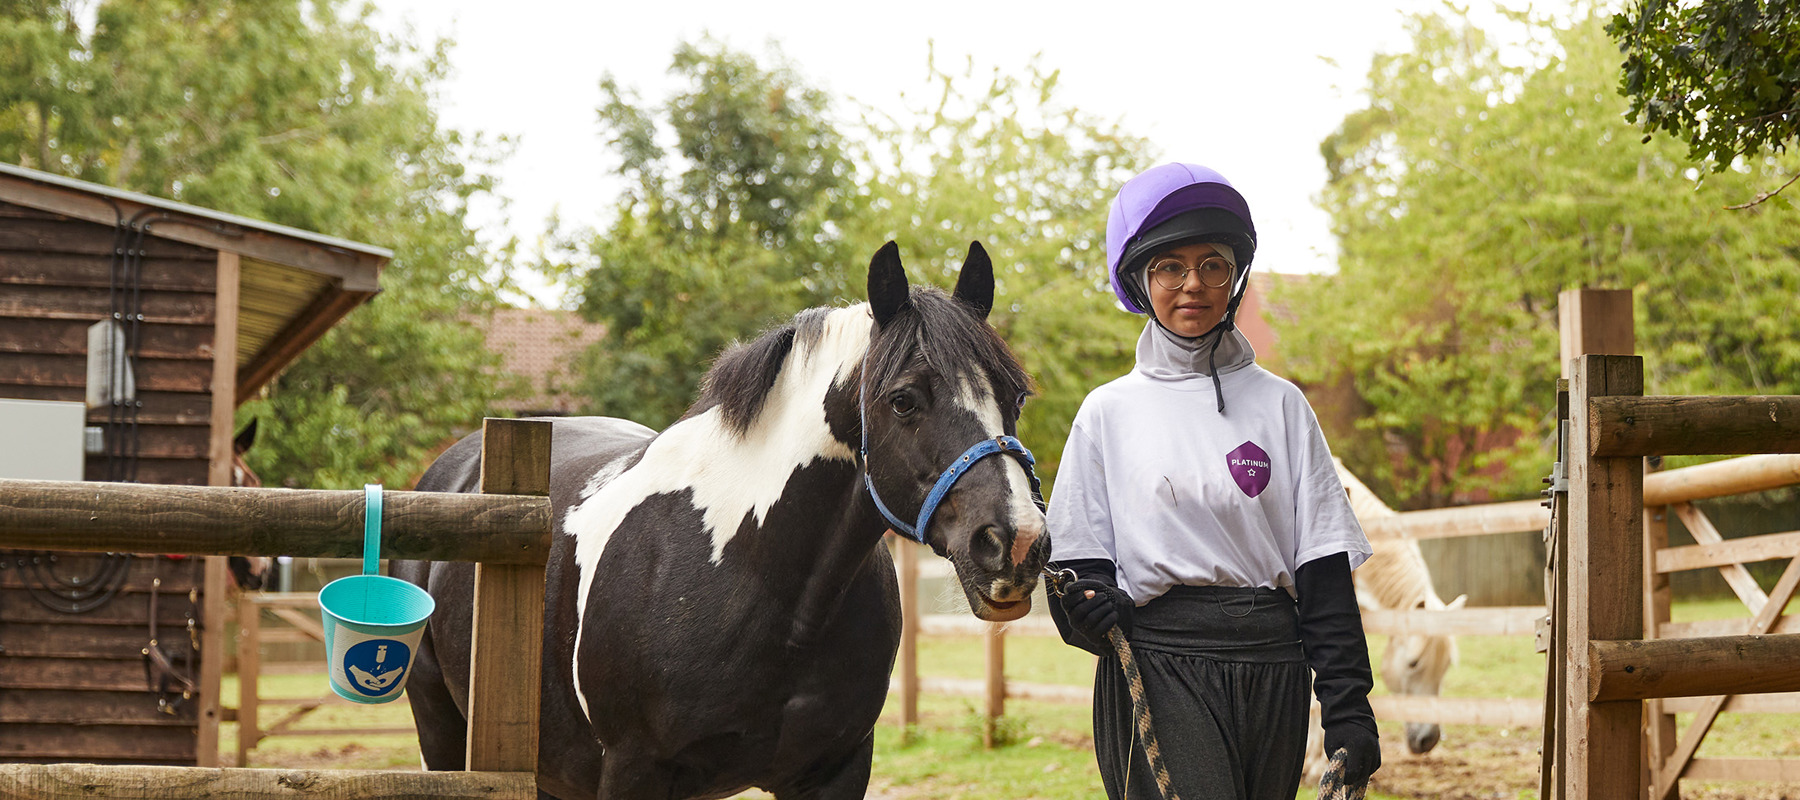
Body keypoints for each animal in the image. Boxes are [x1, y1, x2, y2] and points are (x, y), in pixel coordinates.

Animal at [396, 241, 1050, 800]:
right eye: (904, 400)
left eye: (1015, 397)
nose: (1015, 542)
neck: (753, 574)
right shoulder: (633, 772)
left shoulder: (836, 772)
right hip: (445, 733)